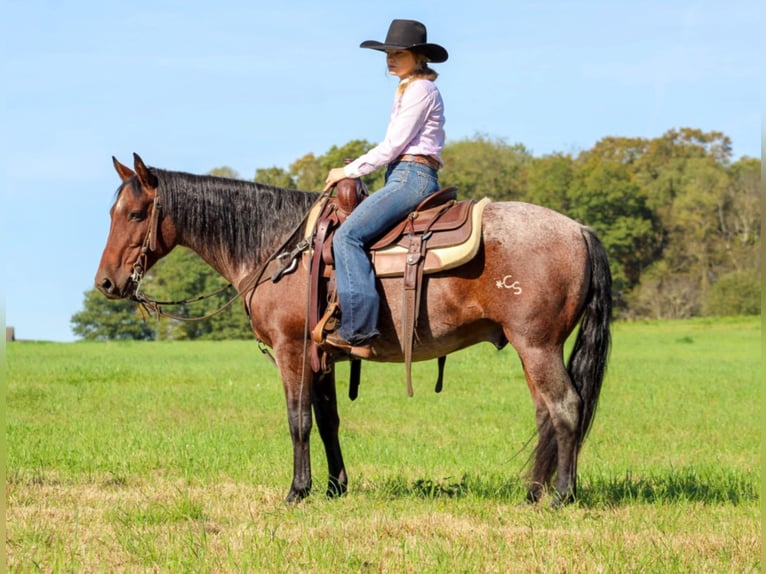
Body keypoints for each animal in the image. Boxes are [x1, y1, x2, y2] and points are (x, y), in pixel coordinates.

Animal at [94, 154, 612, 508]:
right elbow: (328, 422)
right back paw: (532, 493)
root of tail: (579, 230)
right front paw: (333, 488)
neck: (280, 248)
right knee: (546, 413)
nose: (107, 283)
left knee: (566, 408)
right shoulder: (321, 358)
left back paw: (562, 496)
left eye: (136, 214)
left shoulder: (292, 352)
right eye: (111, 213)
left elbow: (298, 421)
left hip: (538, 346)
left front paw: (297, 491)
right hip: (533, 349)